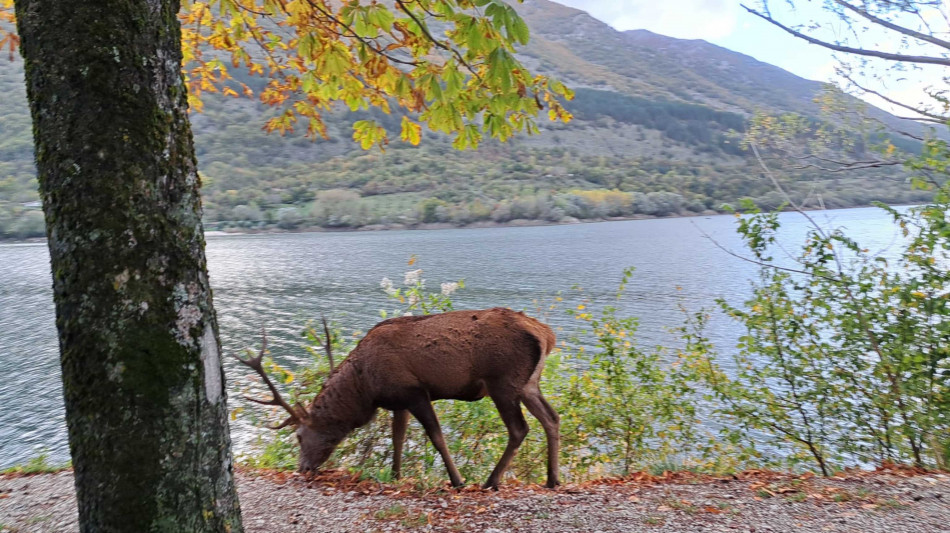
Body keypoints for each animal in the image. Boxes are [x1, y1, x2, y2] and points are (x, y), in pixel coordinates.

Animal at [237, 308, 560, 486]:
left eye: (299, 436)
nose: (302, 467)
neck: (365, 388)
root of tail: (547, 335)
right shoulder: (397, 400)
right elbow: (398, 437)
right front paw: (395, 475)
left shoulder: (415, 392)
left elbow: (436, 437)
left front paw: (457, 480)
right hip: (529, 384)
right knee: (552, 418)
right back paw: (552, 479)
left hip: (503, 381)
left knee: (519, 428)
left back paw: (491, 482)